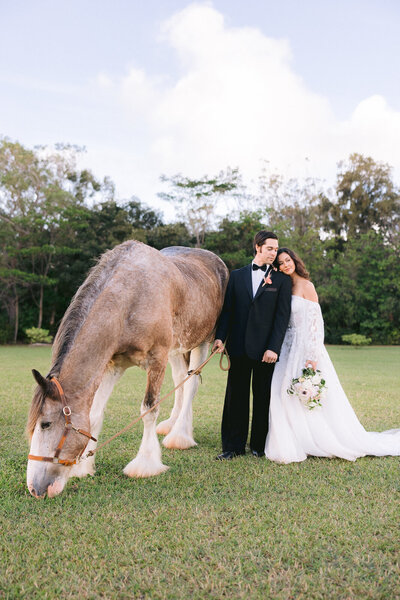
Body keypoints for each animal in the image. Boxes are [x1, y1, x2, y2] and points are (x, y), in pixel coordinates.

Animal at [26, 241, 228, 500]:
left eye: (46, 424)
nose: (35, 489)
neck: (130, 300)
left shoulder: (157, 359)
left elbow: (149, 409)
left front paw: (145, 464)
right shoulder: (113, 364)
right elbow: (95, 414)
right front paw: (84, 467)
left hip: (202, 341)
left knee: (191, 383)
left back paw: (180, 435)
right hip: (177, 349)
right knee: (180, 381)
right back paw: (172, 426)